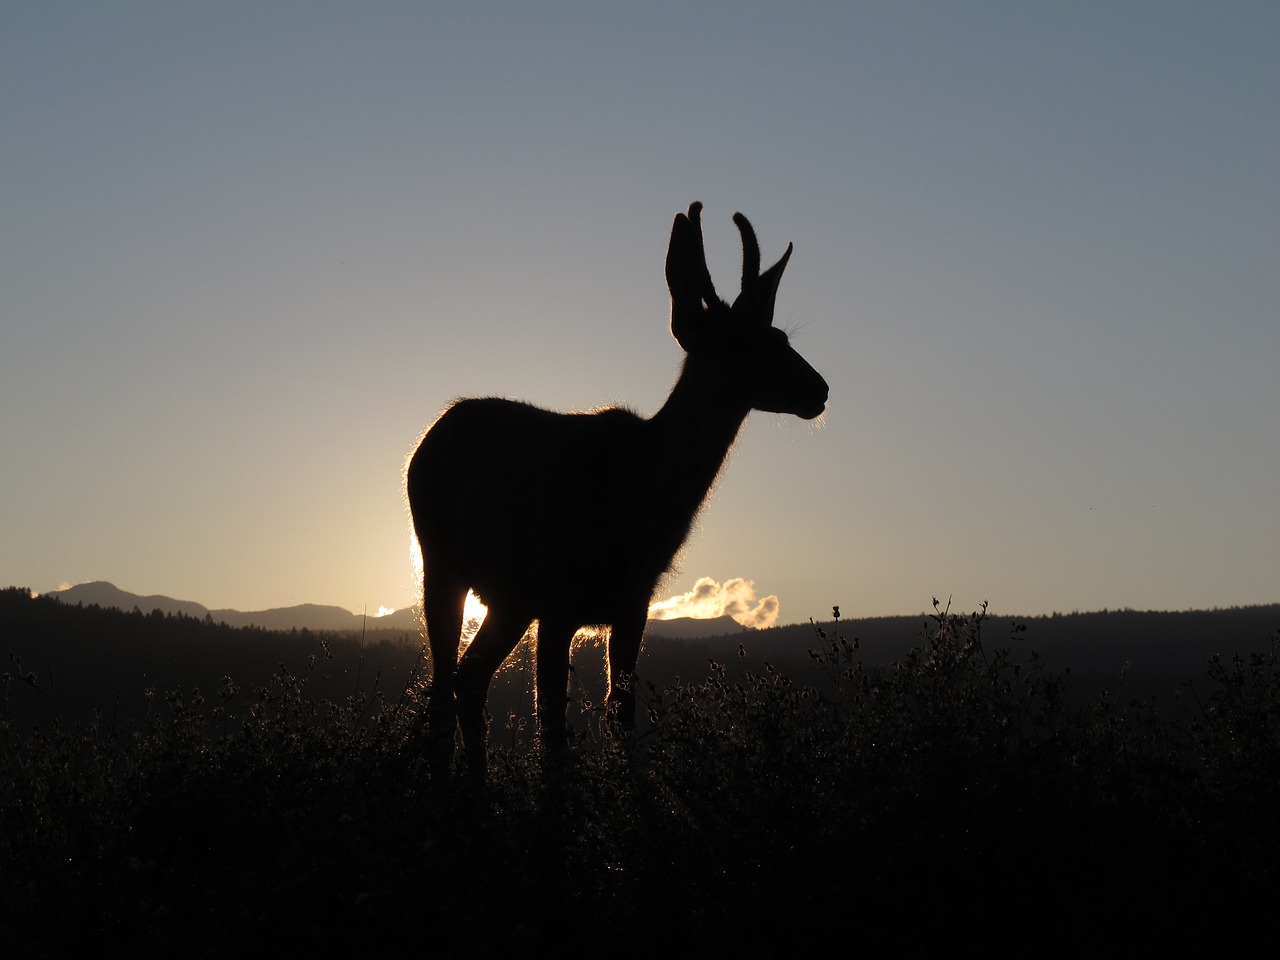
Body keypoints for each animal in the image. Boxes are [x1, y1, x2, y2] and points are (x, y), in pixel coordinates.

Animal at [407, 203, 829, 783]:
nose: (818, 389)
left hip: (510, 600)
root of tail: (434, 431)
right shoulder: (558, 600)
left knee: (469, 678)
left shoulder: (632, 605)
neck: (635, 507)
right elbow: (552, 733)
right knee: (443, 685)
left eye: (783, 337)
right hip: (441, 564)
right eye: (737, 342)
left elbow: (621, 719)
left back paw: (477, 785)